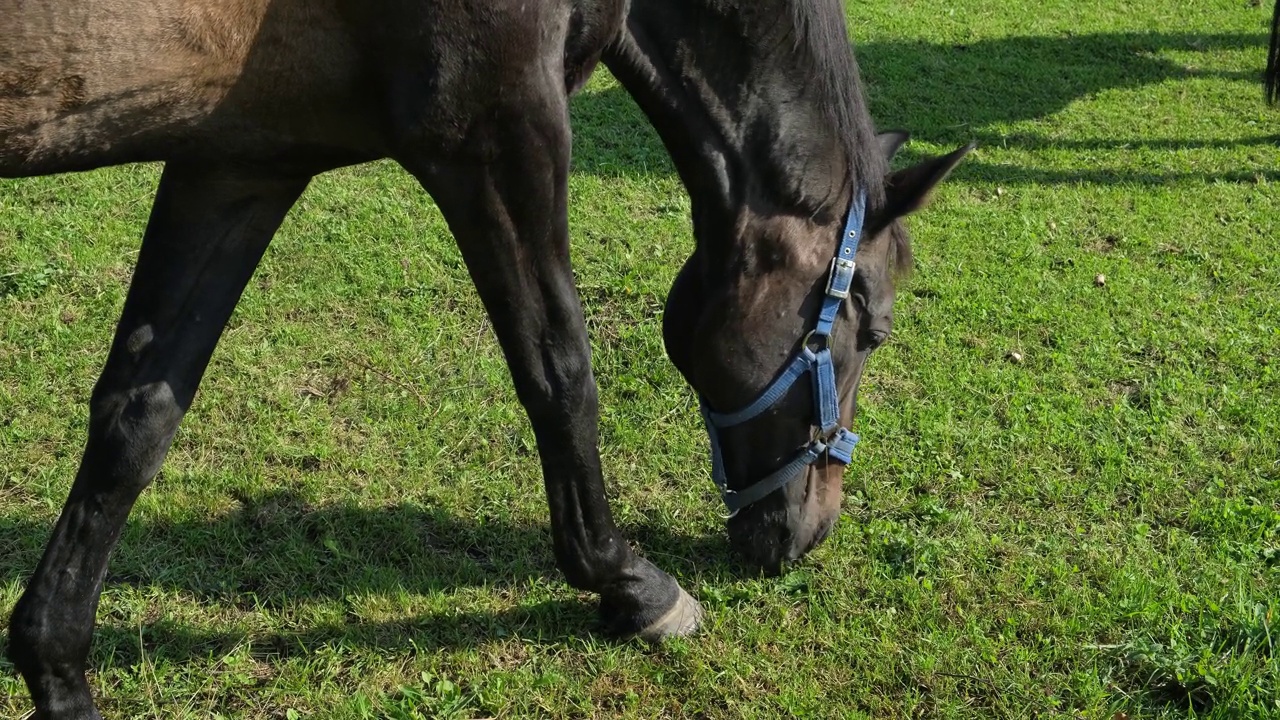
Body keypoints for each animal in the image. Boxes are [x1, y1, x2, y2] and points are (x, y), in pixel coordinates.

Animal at [2, 0, 967, 712]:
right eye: (869, 328)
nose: (810, 532)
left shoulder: (240, 160)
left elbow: (138, 414)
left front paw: (55, 664)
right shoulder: (495, 129)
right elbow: (559, 372)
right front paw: (631, 585)